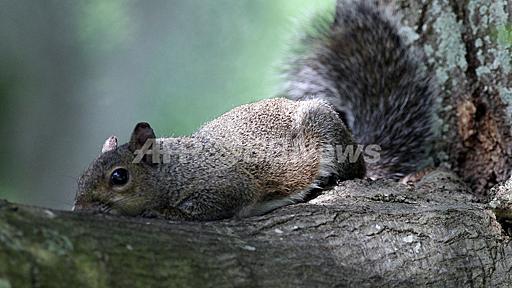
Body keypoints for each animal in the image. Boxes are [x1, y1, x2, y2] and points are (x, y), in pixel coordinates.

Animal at [74, 0, 434, 220]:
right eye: (81, 174)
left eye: (119, 177)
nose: (79, 208)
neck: (175, 171)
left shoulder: (227, 185)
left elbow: (211, 205)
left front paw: (167, 213)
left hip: (327, 133)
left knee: (354, 170)